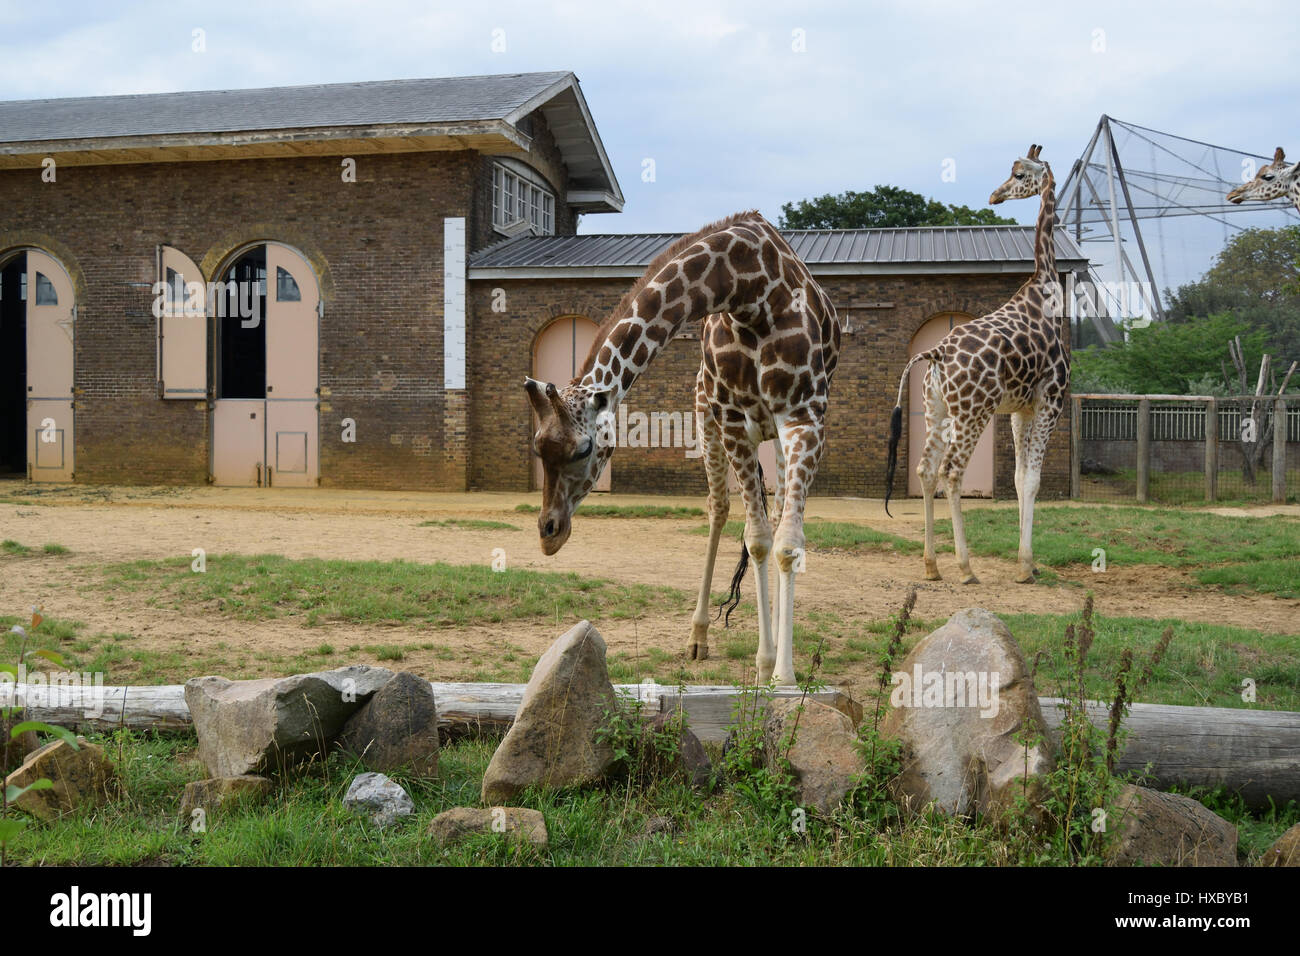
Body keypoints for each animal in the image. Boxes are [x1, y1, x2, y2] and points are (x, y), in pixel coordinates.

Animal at [524, 210, 840, 685]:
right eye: (539, 447)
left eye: (582, 449)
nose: (549, 535)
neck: (750, 290)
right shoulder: (731, 419)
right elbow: (757, 539)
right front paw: (765, 662)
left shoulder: (804, 415)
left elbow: (787, 542)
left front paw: (783, 675)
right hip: (707, 415)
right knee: (720, 509)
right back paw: (698, 637)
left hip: (777, 434)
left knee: (779, 511)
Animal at [884, 144, 1068, 586]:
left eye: (1019, 173)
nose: (994, 196)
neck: (1047, 293)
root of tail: (934, 354)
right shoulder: (1051, 400)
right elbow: (1032, 479)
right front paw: (1025, 566)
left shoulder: (1021, 409)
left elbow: (1018, 478)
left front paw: (1028, 563)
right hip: (973, 411)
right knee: (951, 472)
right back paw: (965, 568)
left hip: (937, 409)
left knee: (925, 469)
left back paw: (932, 565)